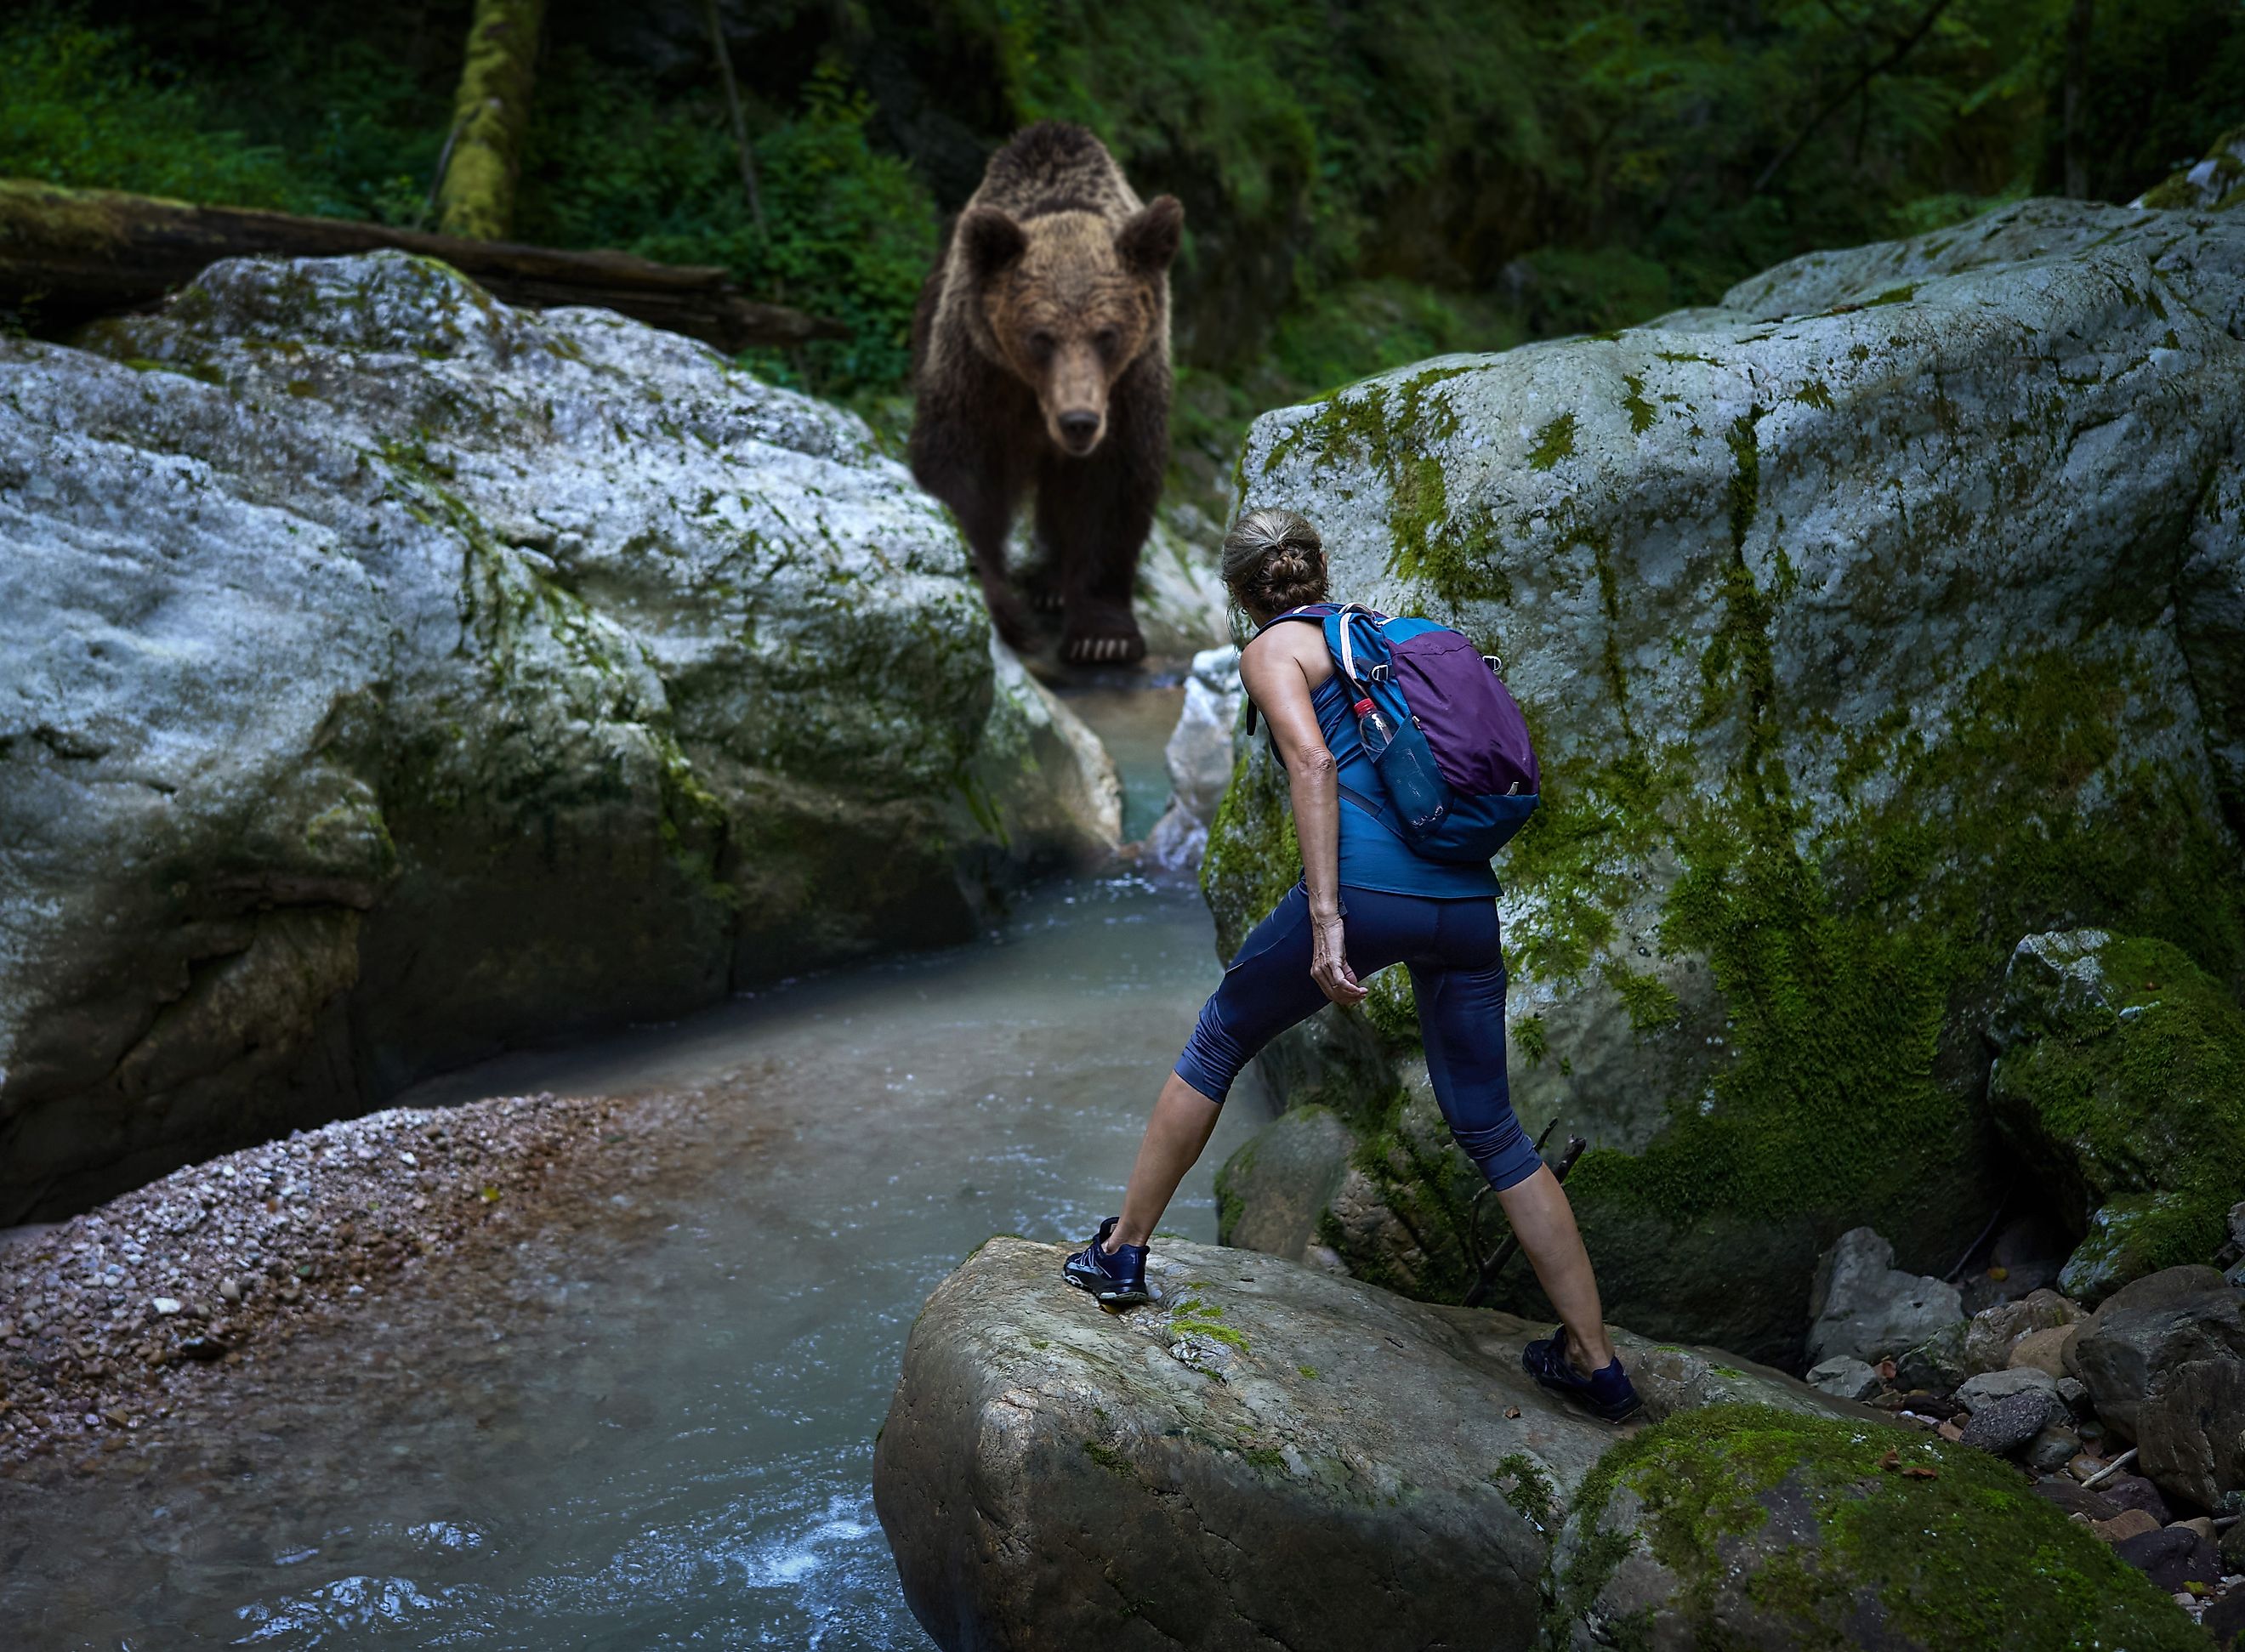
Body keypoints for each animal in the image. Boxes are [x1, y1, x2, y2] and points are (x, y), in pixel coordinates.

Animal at [902, 119, 1185, 668]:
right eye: (1041, 337)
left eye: (1107, 334)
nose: (1078, 421)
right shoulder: (979, 370)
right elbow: (962, 473)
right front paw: (1003, 610)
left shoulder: (1129, 386)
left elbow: (1112, 487)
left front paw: (1103, 637)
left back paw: (1054, 586)